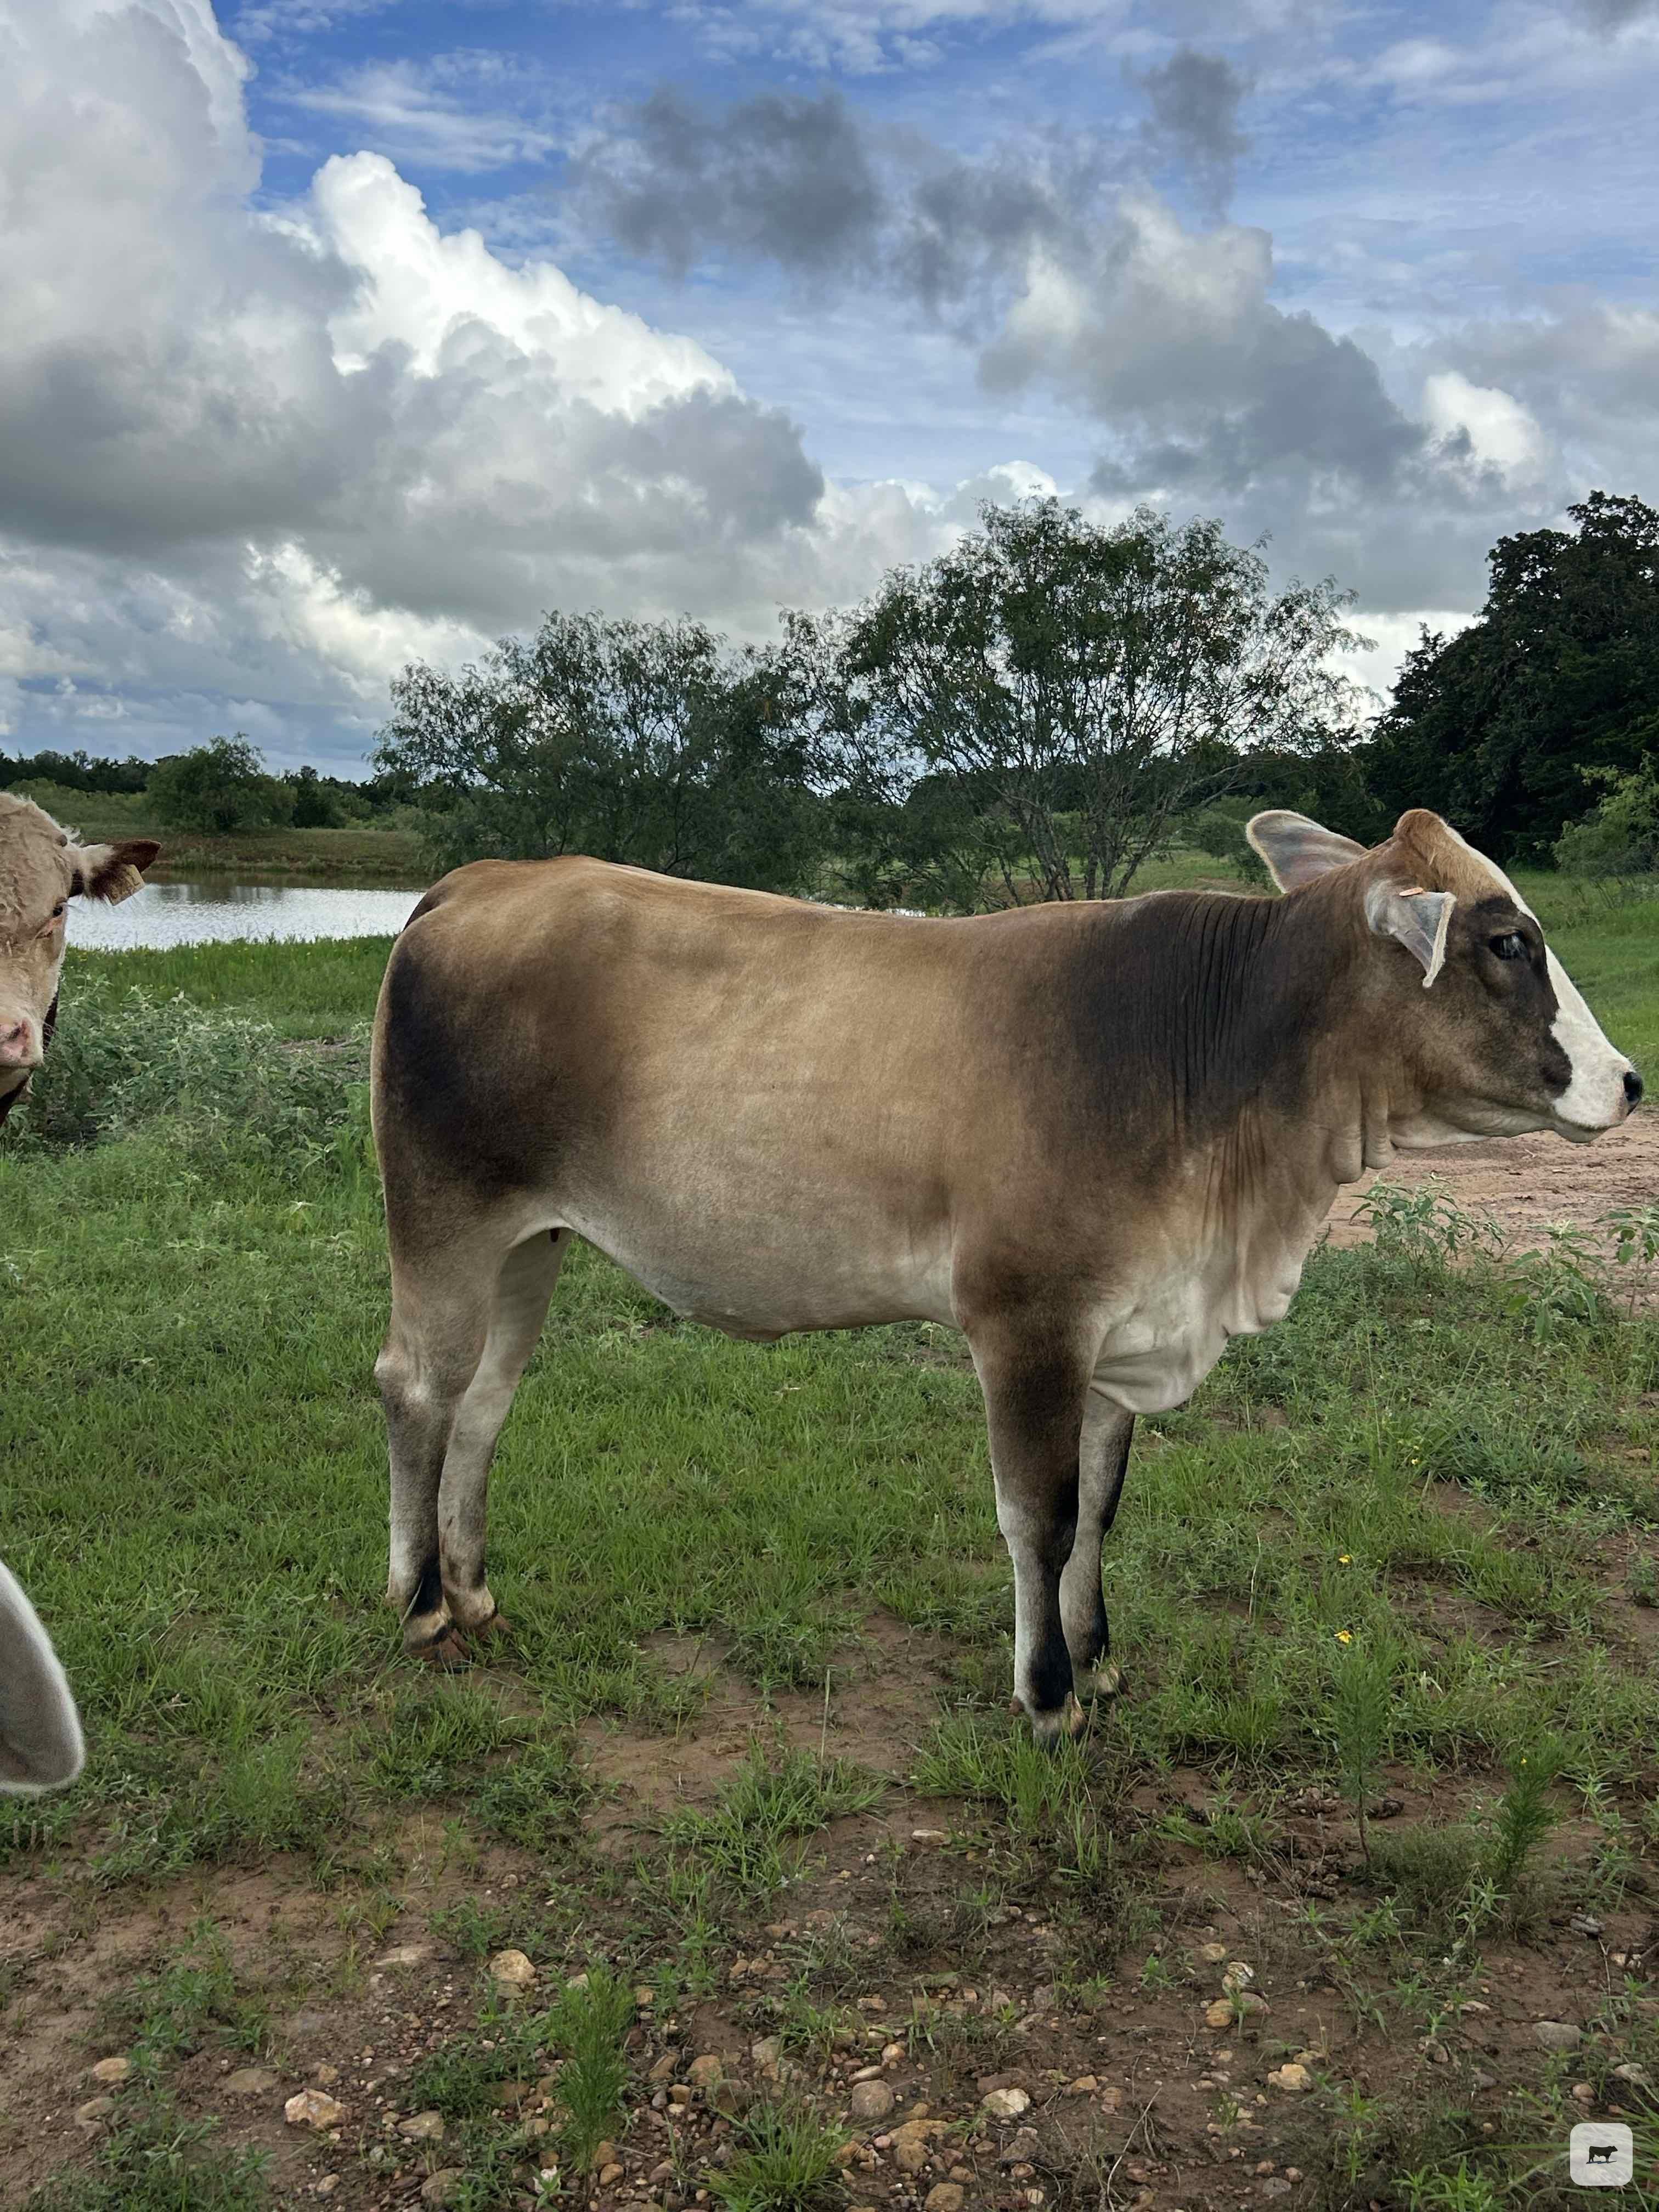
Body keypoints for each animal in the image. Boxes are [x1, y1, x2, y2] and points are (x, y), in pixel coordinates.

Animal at [369, 806, 1639, 1739]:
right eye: (1506, 941)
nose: (1628, 1082)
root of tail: (480, 881)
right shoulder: (1029, 1320)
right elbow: (1042, 1513)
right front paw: (1048, 1696)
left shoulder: (1126, 1328)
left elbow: (1102, 1508)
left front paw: (1098, 1658)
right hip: (443, 1216)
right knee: (418, 1387)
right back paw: (422, 1603)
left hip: (530, 1241)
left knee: (485, 1402)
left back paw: (474, 1587)